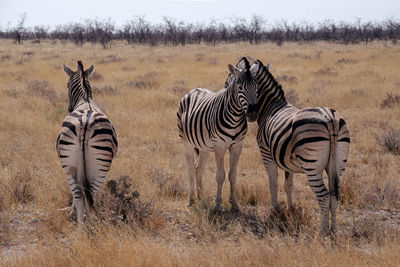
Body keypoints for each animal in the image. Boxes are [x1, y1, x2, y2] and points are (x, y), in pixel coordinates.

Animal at [57, 61, 118, 226]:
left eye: (66, 85)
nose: (69, 108)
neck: (85, 100)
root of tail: (84, 122)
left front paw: (73, 213)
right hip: (99, 165)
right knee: (89, 193)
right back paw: (88, 222)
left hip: (70, 165)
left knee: (81, 194)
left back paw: (82, 226)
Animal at [177, 58, 258, 214]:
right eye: (240, 87)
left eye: (257, 87)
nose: (252, 114)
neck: (236, 116)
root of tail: (194, 90)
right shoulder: (220, 147)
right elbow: (220, 176)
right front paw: (218, 205)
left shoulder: (237, 146)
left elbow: (233, 175)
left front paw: (235, 204)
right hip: (186, 142)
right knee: (190, 169)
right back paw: (191, 200)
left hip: (204, 147)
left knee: (199, 169)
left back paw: (201, 199)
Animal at [250, 59, 350, 236]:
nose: (251, 115)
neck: (271, 105)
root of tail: (330, 118)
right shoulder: (286, 160)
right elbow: (288, 186)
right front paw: (290, 210)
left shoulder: (266, 154)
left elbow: (273, 183)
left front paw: (274, 212)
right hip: (337, 165)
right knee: (334, 195)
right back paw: (333, 229)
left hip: (312, 166)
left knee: (324, 196)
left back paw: (322, 232)